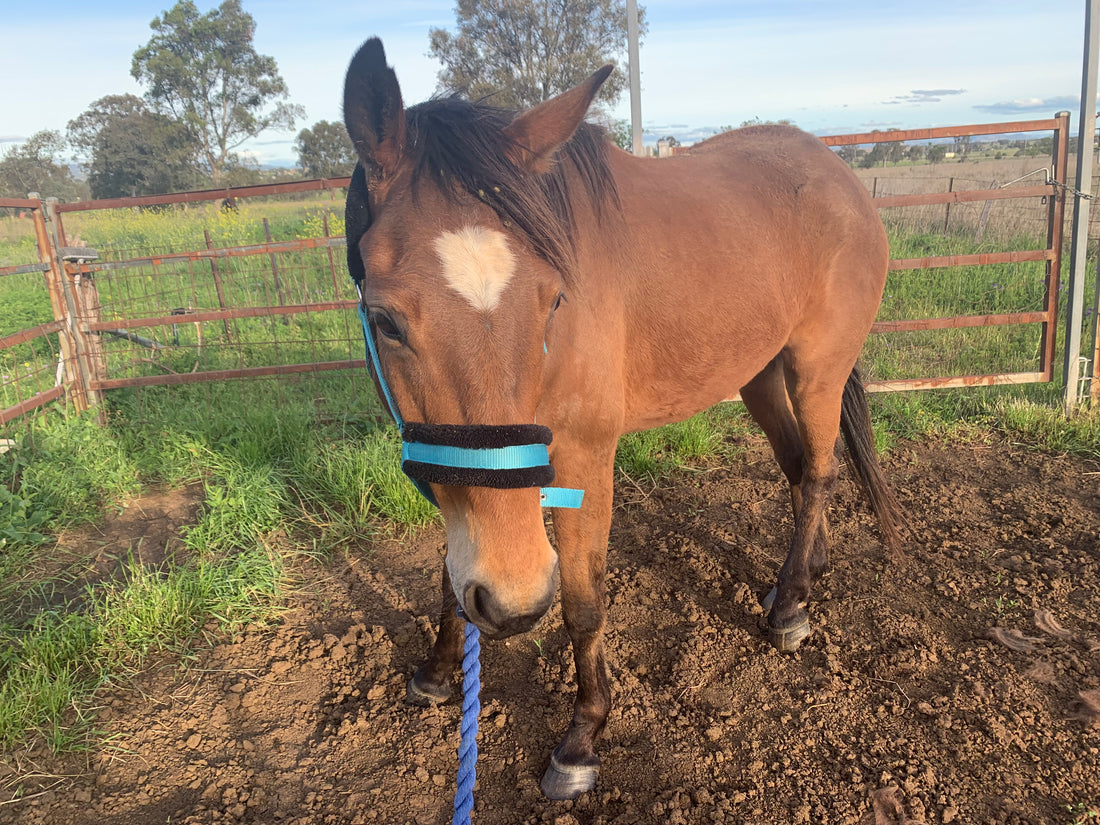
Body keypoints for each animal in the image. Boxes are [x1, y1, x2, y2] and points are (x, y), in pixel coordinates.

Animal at [342, 38, 904, 801]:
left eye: (553, 300)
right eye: (385, 320)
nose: (514, 601)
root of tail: (839, 174)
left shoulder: (584, 459)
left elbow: (583, 601)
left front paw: (582, 738)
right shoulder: (447, 463)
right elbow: (450, 577)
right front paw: (436, 672)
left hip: (817, 367)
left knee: (818, 470)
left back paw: (790, 607)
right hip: (758, 372)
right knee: (798, 470)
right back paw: (804, 571)